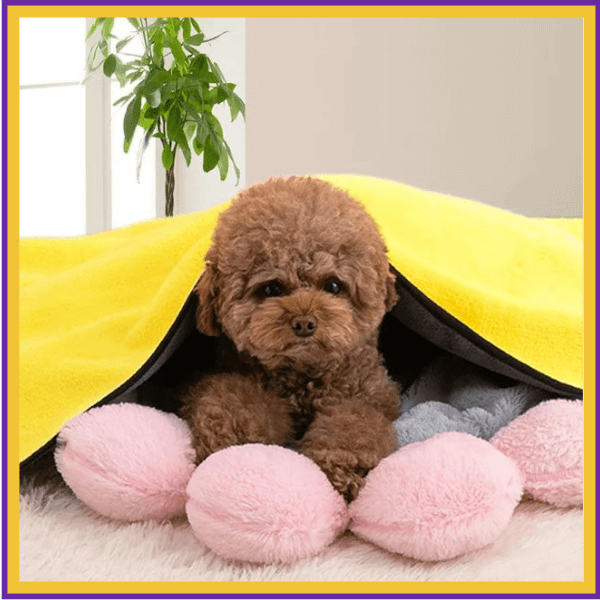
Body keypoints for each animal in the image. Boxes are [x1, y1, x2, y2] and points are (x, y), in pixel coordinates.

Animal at [179, 176, 404, 500]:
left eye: (333, 286)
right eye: (271, 289)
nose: (304, 323)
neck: (301, 376)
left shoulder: (369, 395)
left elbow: (353, 424)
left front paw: (345, 469)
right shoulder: (228, 375)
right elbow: (232, 402)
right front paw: (229, 447)